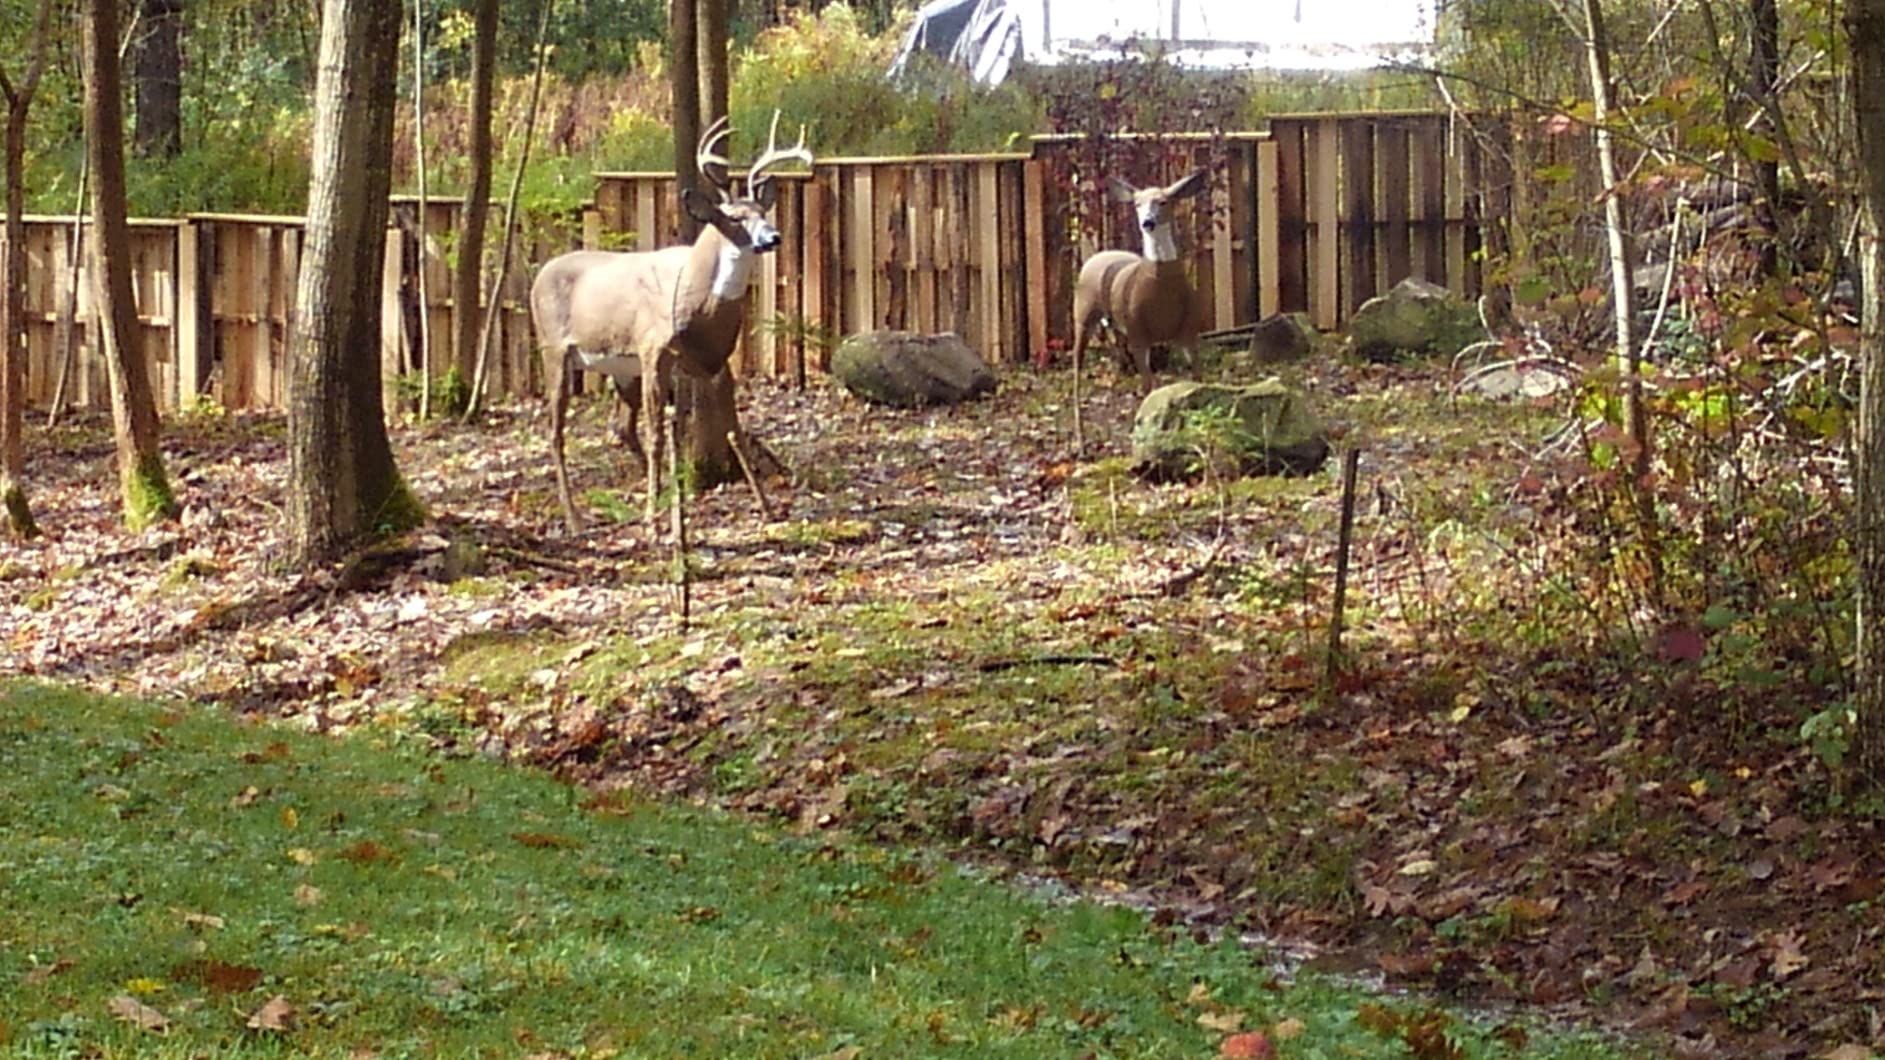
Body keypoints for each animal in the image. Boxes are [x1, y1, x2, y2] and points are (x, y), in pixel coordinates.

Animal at [530, 111, 812, 534]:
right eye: (734, 217)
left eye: (764, 213)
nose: (773, 237)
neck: (697, 308)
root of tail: (537, 276)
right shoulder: (652, 350)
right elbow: (659, 434)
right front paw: (652, 518)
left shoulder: (715, 361)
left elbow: (734, 431)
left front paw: (766, 507)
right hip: (554, 348)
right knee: (555, 431)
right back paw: (577, 519)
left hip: (619, 368)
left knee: (621, 429)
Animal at [1067, 168, 1209, 453]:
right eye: (1137, 204)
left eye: (1164, 201)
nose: (1147, 223)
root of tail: (1097, 255)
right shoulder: (1139, 333)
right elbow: (1148, 386)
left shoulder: (1188, 331)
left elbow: (1195, 381)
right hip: (1083, 314)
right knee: (1076, 369)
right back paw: (1082, 444)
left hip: (1116, 325)